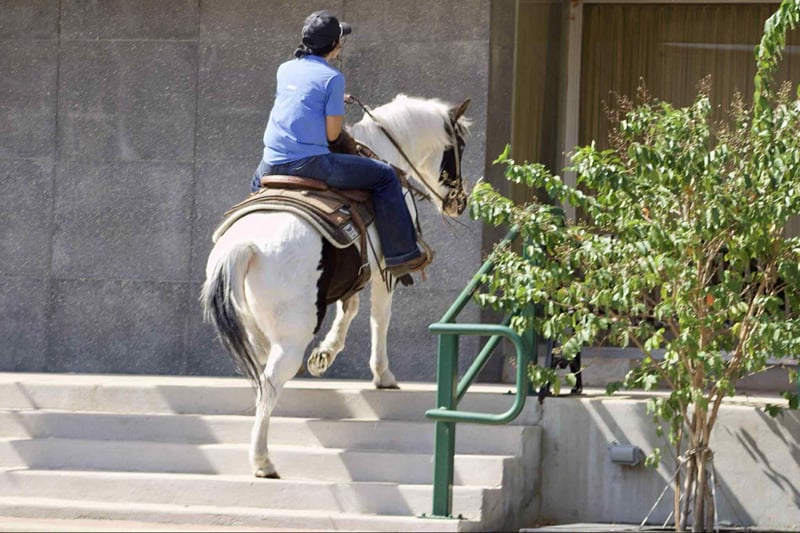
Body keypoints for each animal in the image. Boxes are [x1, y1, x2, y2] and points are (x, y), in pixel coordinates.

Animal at [201, 94, 471, 478]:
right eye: (458, 147)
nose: (459, 202)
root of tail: (247, 245)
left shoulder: (356, 273)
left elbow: (350, 308)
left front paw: (324, 355)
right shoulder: (385, 271)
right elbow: (378, 317)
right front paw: (382, 374)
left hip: (253, 323)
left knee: (262, 368)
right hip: (293, 334)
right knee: (269, 382)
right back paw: (262, 460)